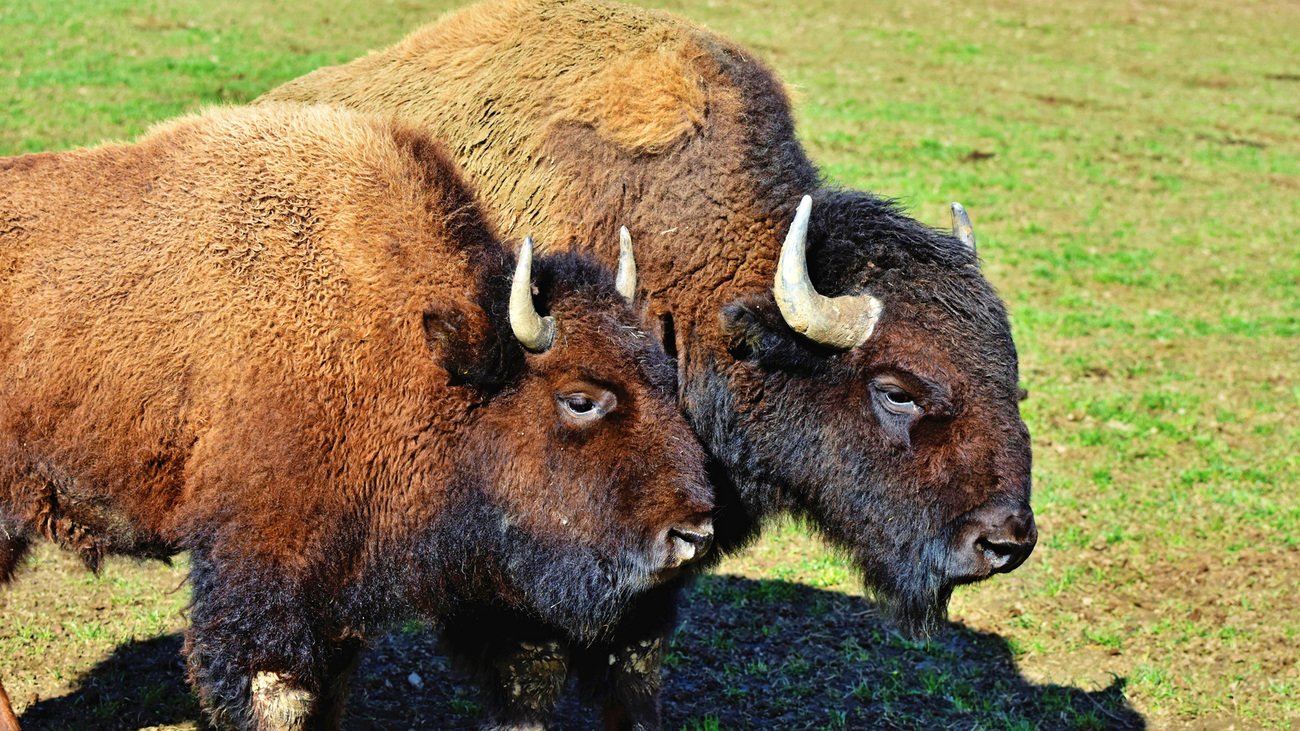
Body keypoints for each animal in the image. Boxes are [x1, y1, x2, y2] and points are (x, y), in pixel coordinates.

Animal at [0, 104, 717, 728]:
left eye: (665, 376)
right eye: (579, 398)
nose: (694, 532)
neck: (413, 347)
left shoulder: (340, 583)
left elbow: (332, 687)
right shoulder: (264, 567)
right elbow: (278, 693)